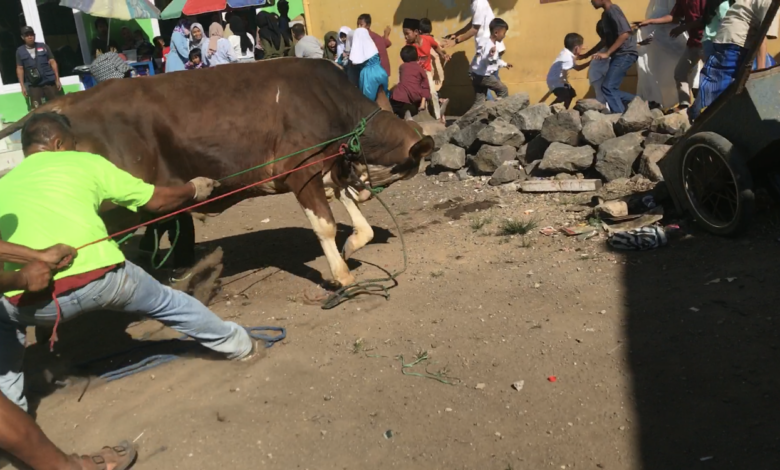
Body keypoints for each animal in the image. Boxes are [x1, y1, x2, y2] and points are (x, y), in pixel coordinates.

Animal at [0, 58, 432, 286]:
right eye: (409, 168)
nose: (368, 187)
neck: (329, 101)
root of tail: (62, 102)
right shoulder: (301, 167)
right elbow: (324, 225)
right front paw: (341, 275)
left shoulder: (329, 165)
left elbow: (358, 222)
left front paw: (353, 243)